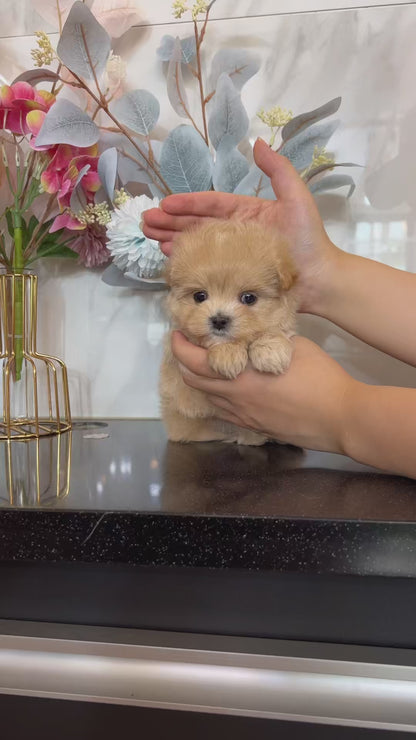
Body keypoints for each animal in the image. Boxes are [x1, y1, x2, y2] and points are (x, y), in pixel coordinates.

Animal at [160, 220, 300, 446]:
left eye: (249, 298)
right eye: (200, 296)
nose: (219, 320)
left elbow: (274, 330)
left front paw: (271, 351)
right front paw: (228, 354)